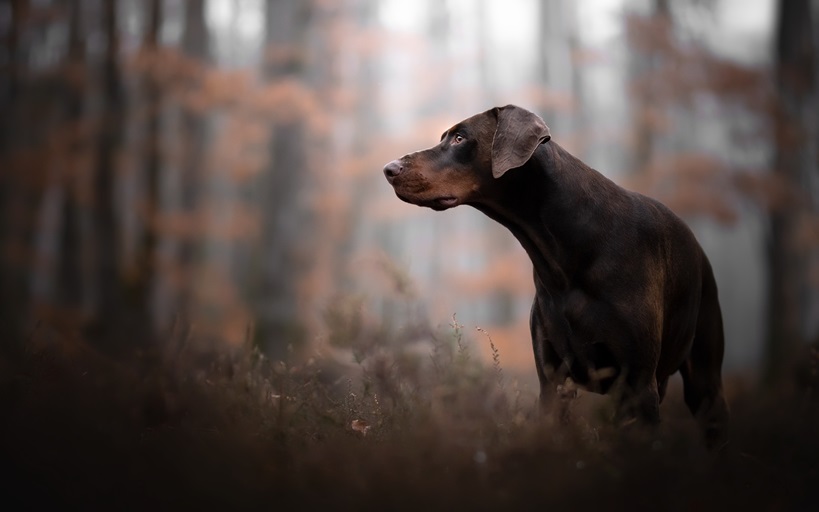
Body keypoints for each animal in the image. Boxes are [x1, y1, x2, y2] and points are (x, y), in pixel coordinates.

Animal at [384, 105, 732, 448]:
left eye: (459, 138)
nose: (389, 169)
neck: (562, 255)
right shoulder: (553, 382)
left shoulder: (638, 383)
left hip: (702, 379)